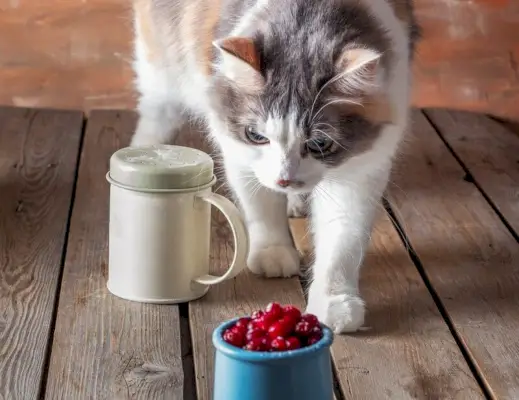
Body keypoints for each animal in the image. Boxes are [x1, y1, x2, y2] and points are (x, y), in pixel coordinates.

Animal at [132, 0, 420, 332]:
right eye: (257, 136)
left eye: (319, 145)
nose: (284, 179)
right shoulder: (238, 151)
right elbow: (262, 206)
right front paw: (273, 253)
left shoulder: (361, 169)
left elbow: (342, 242)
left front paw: (335, 301)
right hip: (161, 71)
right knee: (155, 114)